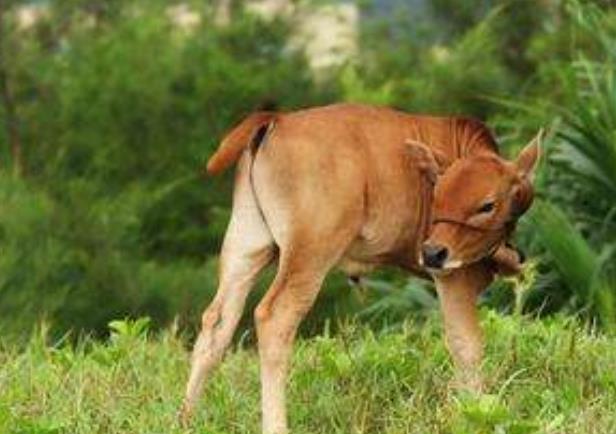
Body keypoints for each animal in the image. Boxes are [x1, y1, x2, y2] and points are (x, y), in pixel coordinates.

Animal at [178, 103, 540, 432]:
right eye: (436, 198)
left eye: (487, 205)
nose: (432, 252)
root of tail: (277, 120)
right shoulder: (454, 274)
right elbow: (467, 344)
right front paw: (474, 412)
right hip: (310, 253)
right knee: (275, 318)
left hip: (247, 244)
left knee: (217, 322)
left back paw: (186, 419)